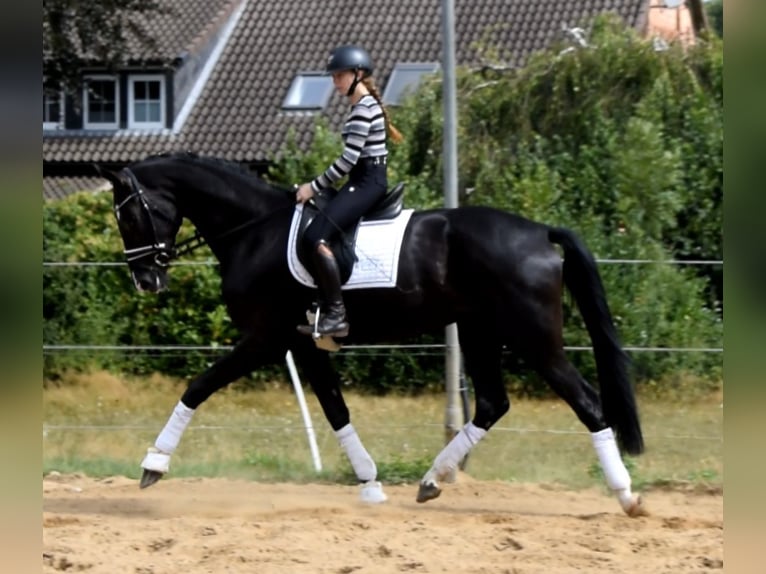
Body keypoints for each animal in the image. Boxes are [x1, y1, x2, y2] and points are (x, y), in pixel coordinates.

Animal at [98, 151, 646, 517]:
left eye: (128, 213)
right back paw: (432, 481)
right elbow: (336, 409)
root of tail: (538, 233)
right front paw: (370, 483)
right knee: (493, 403)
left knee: (588, 404)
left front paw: (153, 463)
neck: (255, 231)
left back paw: (626, 496)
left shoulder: (264, 338)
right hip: (479, 331)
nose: (145, 281)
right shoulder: (302, 343)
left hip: (533, 338)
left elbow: (198, 386)